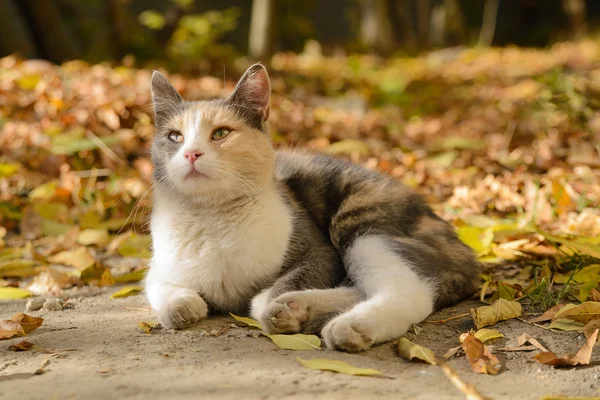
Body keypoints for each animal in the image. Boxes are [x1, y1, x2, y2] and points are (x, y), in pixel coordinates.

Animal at [143, 64, 480, 352]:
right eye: (174, 136)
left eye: (221, 133)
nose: (191, 153)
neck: (212, 218)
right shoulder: (158, 267)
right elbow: (162, 289)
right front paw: (182, 307)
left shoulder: (320, 252)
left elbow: (279, 287)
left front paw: (268, 299)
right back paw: (299, 309)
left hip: (362, 226)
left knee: (409, 291)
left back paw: (344, 325)